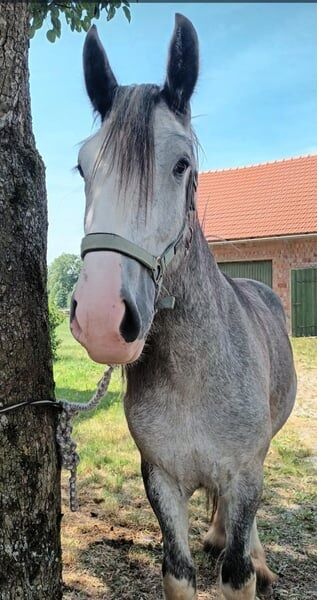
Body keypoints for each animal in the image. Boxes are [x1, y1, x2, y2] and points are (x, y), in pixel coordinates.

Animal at [70, 14, 296, 600]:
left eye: (181, 164)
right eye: (82, 168)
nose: (102, 319)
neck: (194, 377)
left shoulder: (243, 475)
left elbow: (236, 572)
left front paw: (249, 560)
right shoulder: (161, 479)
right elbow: (178, 570)